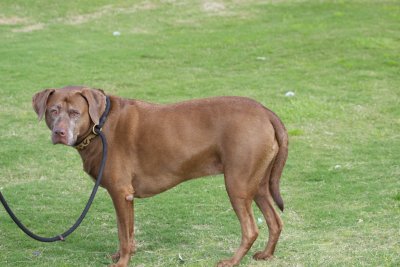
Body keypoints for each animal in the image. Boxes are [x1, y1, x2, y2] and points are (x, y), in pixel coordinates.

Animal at [32, 87, 288, 266]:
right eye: (53, 111)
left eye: (75, 113)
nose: (59, 133)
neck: (100, 127)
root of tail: (264, 111)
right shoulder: (125, 197)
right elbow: (126, 230)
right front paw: (122, 254)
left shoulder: (120, 192)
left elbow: (123, 234)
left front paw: (122, 262)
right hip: (258, 185)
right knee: (275, 221)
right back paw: (266, 254)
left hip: (237, 184)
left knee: (251, 229)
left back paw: (232, 261)